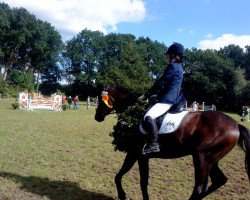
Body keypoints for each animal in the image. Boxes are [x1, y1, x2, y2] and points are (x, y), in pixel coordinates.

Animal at [94, 85, 250, 200]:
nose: (97, 117)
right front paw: (122, 195)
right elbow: (120, 176)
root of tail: (236, 125)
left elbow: (140, 181)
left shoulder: (139, 155)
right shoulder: (135, 154)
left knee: (199, 187)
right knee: (219, 181)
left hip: (201, 159)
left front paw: (124, 195)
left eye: (101, 100)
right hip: (211, 160)